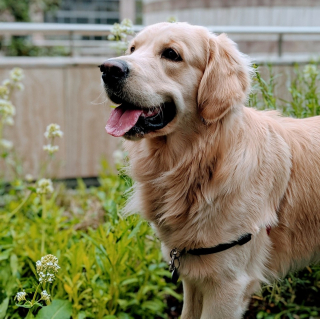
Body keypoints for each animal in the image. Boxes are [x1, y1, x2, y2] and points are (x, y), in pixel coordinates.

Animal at [101, 21, 320, 318]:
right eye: (132, 49)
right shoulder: (193, 272)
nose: (108, 69)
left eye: (171, 54)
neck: (202, 163)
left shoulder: (228, 285)